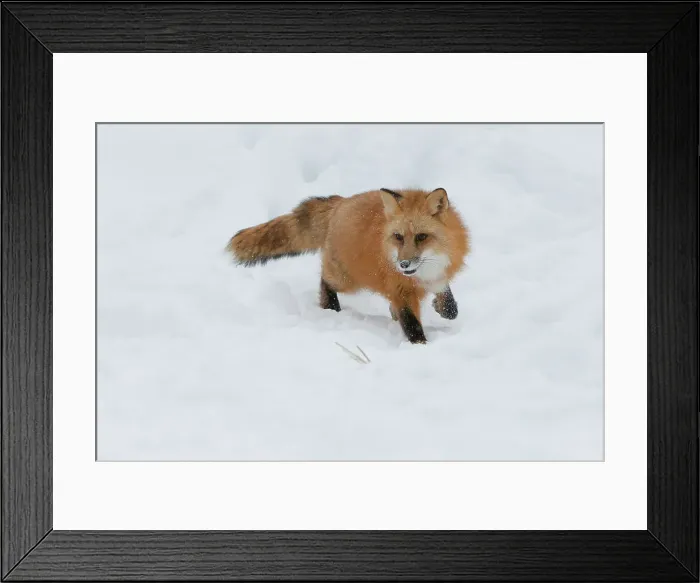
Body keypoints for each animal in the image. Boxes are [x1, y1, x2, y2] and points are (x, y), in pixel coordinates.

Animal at [226, 187, 470, 344]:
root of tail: (341, 202)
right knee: (325, 281)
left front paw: (443, 306)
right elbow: (412, 325)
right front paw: (420, 346)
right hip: (346, 279)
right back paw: (330, 307)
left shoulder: (437, 275)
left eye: (421, 237)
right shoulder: (400, 289)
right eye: (398, 237)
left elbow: (449, 304)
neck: (426, 271)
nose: (403, 264)